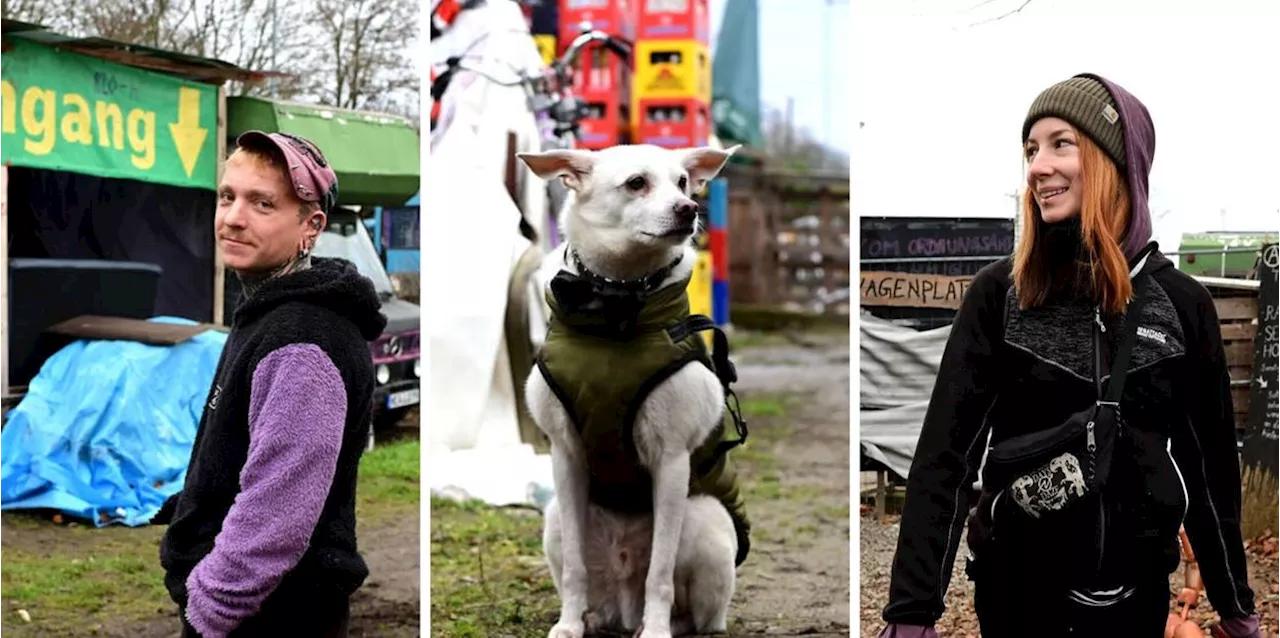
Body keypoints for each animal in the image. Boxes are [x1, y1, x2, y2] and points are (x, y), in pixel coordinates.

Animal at [517, 144, 747, 638]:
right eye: (636, 183)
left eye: (683, 182)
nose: (689, 209)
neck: (616, 302)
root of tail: (623, 605)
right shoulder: (566, 456)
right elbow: (575, 569)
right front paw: (568, 624)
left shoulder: (671, 461)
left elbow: (660, 571)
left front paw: (657, 629)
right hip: (556, 520)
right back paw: (589, 617)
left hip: (706, 520)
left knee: (695, 613)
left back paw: (660, 625)